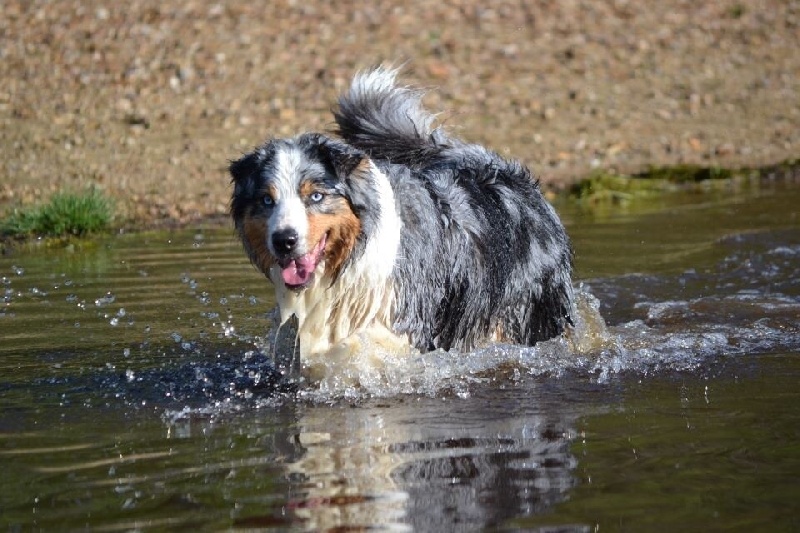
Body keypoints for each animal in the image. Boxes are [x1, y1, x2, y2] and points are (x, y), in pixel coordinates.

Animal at [228, 65, 572, 374]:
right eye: (267, 200)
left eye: (315, 196)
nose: (284, 241)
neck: (348, 261)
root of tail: (502, 167)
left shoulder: (406, 319)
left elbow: (363, 347)